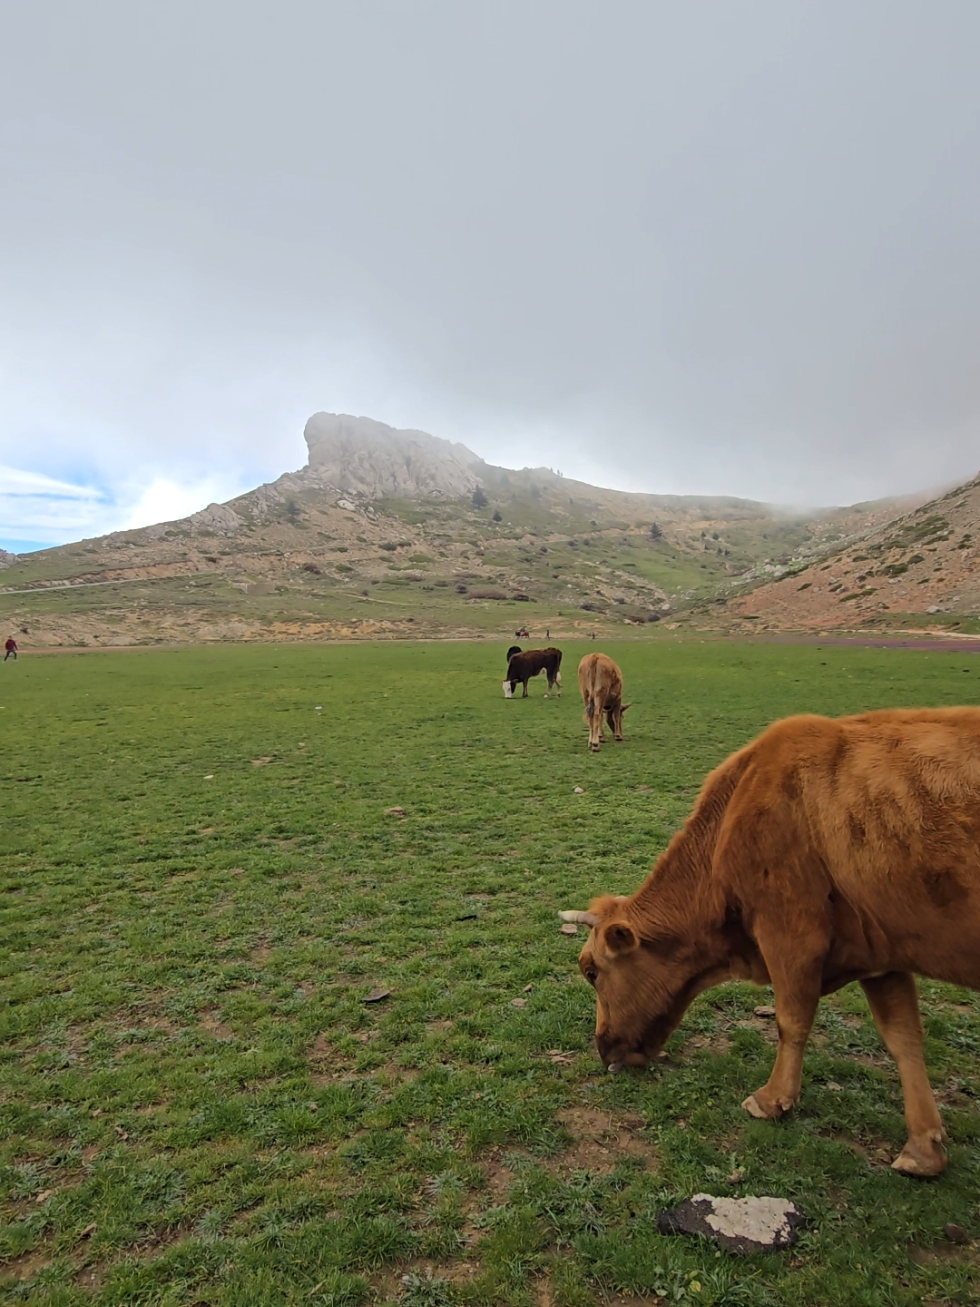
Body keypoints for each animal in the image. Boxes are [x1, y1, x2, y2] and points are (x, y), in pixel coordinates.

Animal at [559, 711, 980, 1181]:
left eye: (592, 972)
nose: (602, 1050)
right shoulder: (882, 953)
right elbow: (903, 1038)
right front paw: (924, 1147)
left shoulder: (791, 936)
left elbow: (791, 1021)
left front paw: (772, 1099)